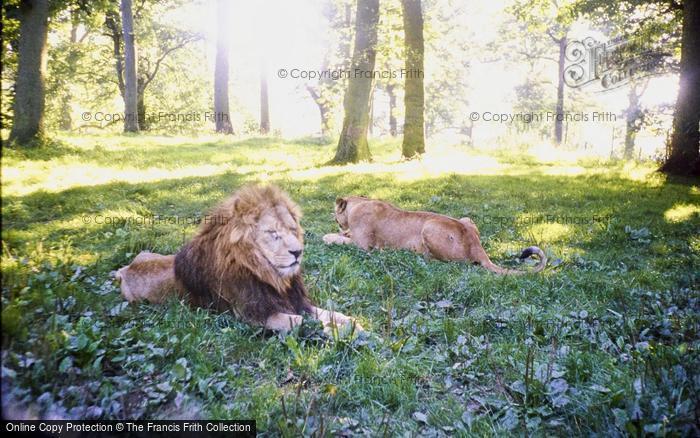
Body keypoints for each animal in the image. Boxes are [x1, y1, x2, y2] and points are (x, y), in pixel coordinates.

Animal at [115, 185, 360, 332]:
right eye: (273, 233)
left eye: (292, 229)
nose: (298, 252)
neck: (270, 277)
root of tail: (124, 270)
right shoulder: (254, 316)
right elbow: (306, 323)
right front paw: (341, 332)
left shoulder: (296, 301)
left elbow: (327, 313)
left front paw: (353, 323)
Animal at [322, 198, 548, 276]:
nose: (334, 219)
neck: (359, 202)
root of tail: (476, 245)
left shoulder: (364, 246)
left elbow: (336, 238)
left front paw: (328, 236)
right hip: (466, 219)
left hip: (429, 227)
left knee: (454, 263)